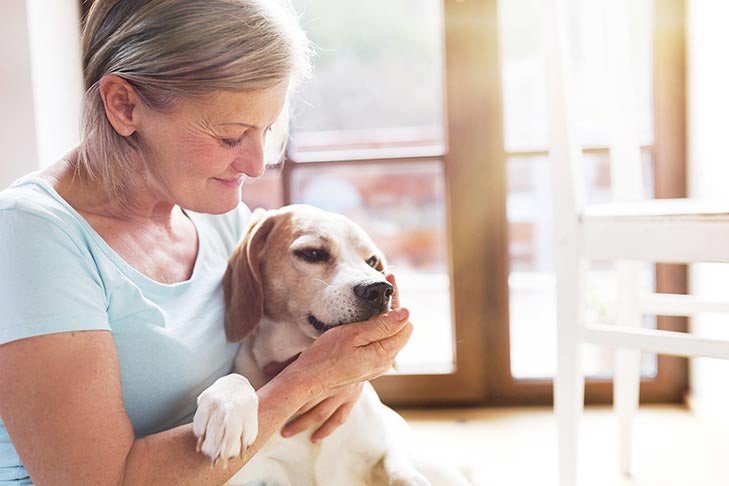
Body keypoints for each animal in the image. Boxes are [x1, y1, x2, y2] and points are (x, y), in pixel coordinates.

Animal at [191, 205, 470, 486]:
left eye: (372, 262)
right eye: (313, 253)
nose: (380, 289)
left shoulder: (383, 453)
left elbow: (402, 472)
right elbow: (237, 378)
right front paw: (226, 409)